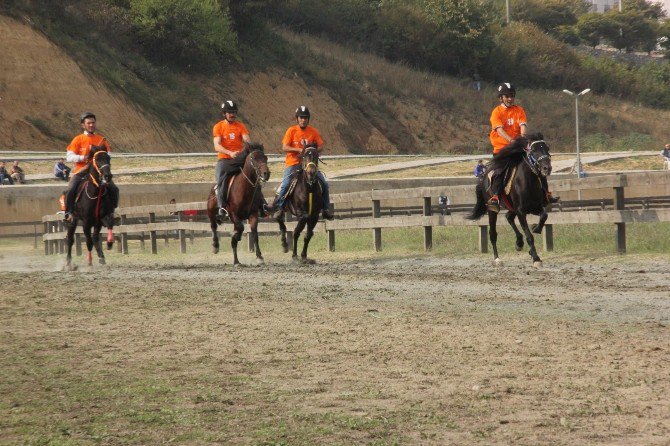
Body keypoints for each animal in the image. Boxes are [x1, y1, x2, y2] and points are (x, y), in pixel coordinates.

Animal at [468, 132, 556, 264]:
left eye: (547, 148)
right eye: (534, 150)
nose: (547, 168)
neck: (528, 182)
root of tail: (483, 178)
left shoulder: (535, 207)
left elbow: (544, 216)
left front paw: (536, 228)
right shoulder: (521, 211)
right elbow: (529, 236)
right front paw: (536, 258)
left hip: (512, 208)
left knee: (509, 217)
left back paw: (519, 243)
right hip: (492, 210)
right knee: (493, 234)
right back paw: (497, 258)